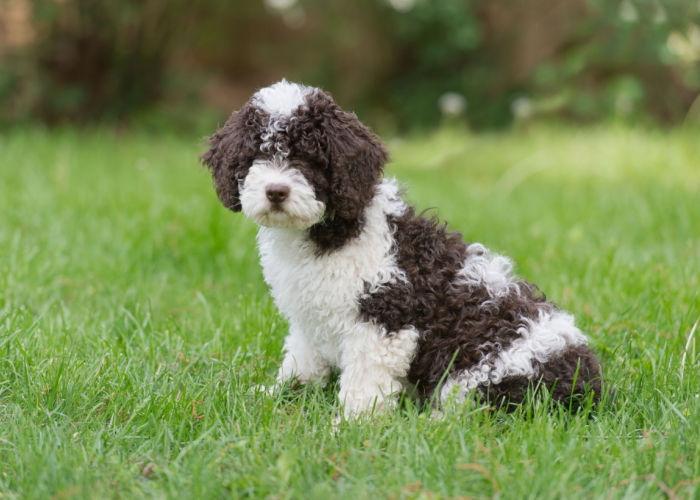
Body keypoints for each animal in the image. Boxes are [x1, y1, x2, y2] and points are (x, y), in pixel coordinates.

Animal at [202, 80, 600, 418]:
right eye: (256, 156)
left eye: (309, 158)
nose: (276, 191)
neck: (327, 232)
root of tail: (594, 388)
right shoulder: (308, 317)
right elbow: (303, 362)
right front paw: (276, 396)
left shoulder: (383, 319)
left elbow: (364, 383)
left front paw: (351, 426)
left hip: (487, 372)